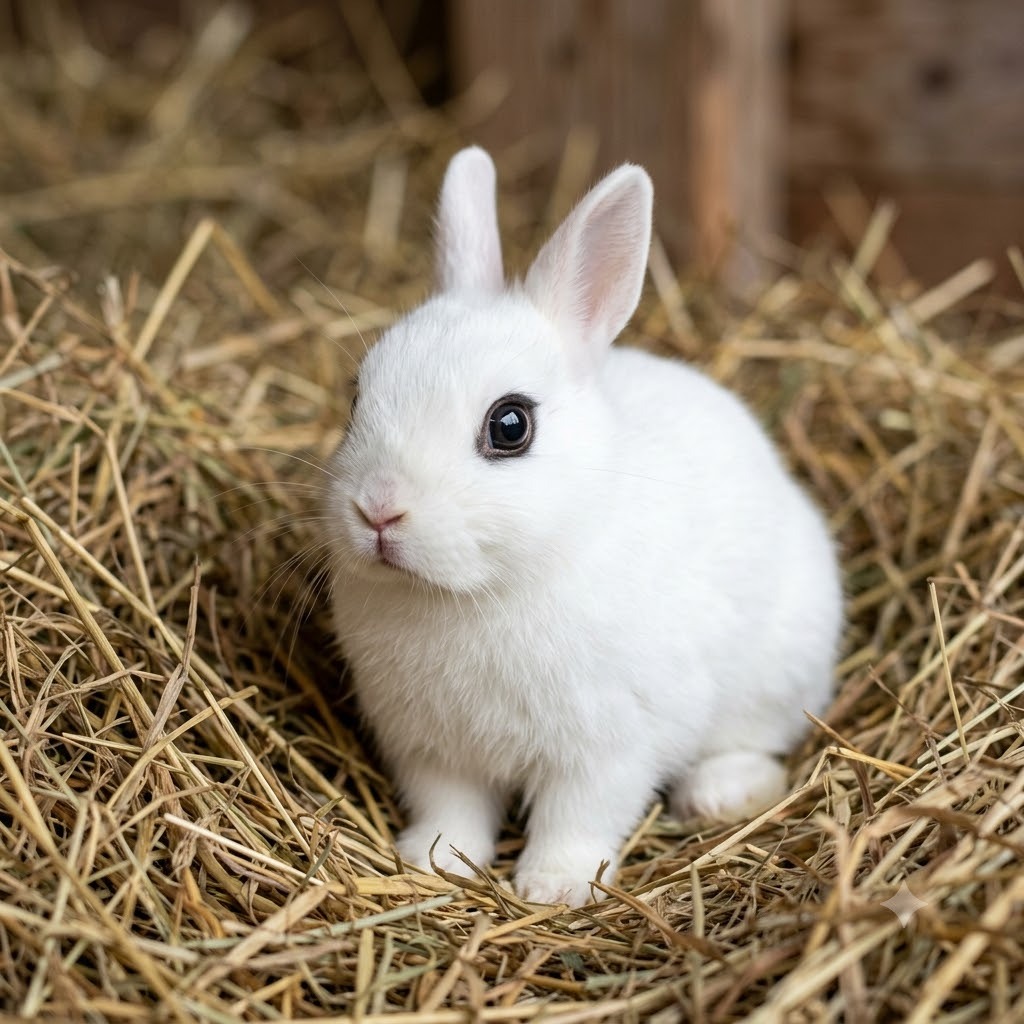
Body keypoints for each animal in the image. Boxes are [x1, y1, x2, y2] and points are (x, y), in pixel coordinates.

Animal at [325, 146, 843, 908]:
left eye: (510, 425)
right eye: (357, 395)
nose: (379, 510)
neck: (474, 594)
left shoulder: (608, 748)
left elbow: (579, 816)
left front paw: (555, 887)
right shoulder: (431, 750)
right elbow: (452, 809)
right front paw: (432, 861)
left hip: (778, 673)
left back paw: (719, 795)